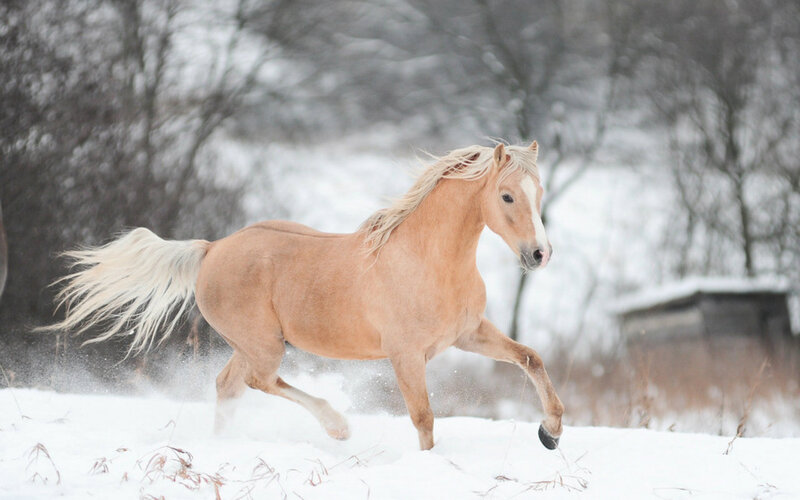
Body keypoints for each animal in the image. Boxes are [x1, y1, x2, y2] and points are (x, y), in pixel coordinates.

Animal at [45, 140, 564, 451]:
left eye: (538, 192)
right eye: (506, 196)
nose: (540, 254)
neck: (427, 260)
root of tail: (212, 249)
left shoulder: (469, 335)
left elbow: (531, 358)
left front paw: (551, 432)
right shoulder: (406, 354)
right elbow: (424, 417)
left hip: (249, 345)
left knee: (229, 386)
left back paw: (222, 447)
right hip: (265, 344)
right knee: (259, 382)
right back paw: (337, 426)